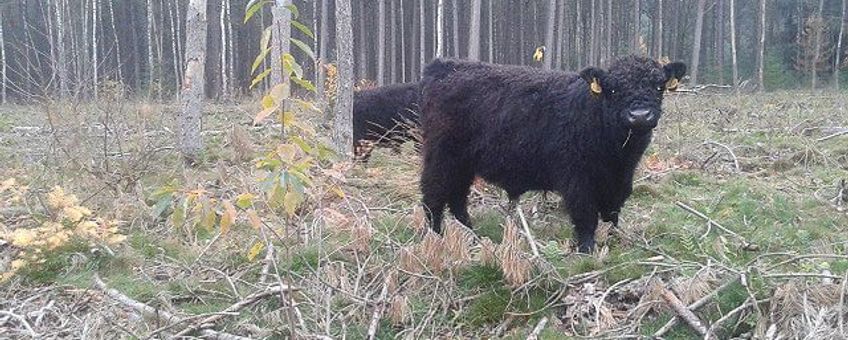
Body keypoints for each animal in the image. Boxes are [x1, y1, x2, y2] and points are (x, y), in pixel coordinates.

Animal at [420, 55, 684, 252]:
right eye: (613, 89)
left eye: (659, 86)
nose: (640, 116)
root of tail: (444, 66)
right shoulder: (577, 180)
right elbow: (586, 216)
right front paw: (587, 250)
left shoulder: (620, 181)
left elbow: (612, 213)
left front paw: (614, 239)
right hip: (441, 158)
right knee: (433, 196)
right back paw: (436, 237)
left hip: (463, 164)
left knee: (457, 197)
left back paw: (471, 234)